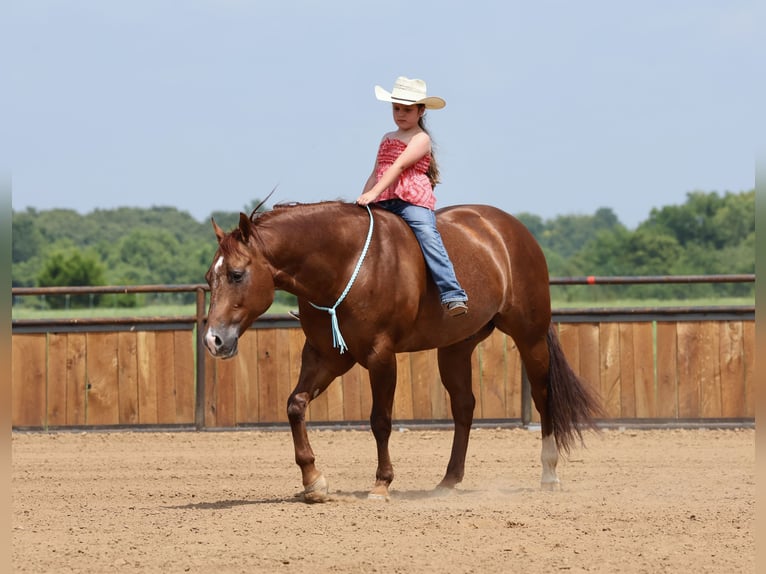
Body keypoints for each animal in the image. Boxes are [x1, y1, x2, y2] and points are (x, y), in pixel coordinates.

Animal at [203, 200, 602, 502]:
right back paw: (448, 481)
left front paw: (381, 484)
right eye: (210, 278)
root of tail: (511, 230)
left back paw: (549, 474)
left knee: (544, 397)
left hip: (529, 337)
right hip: (456, 348)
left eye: (237, 274)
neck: (346, 263)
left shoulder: (380, 356)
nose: (213, 340)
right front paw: (313, 481)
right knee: (464, 406)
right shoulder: (326, 355)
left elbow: (380, 420)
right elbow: (295, 405)